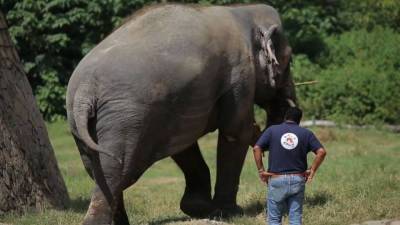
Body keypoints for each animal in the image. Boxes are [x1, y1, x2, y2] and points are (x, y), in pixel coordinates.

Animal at [66, 2, 296, 224]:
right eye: (289, 60)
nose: (293, 109)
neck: (242, 10)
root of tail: (85, 90)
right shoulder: (239, 71)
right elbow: (234, 132)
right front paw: (229, 212)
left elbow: (183, 144)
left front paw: (198, 208)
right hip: (124, 118)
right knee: (115, 169)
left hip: (82, 124)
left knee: (96, 169)